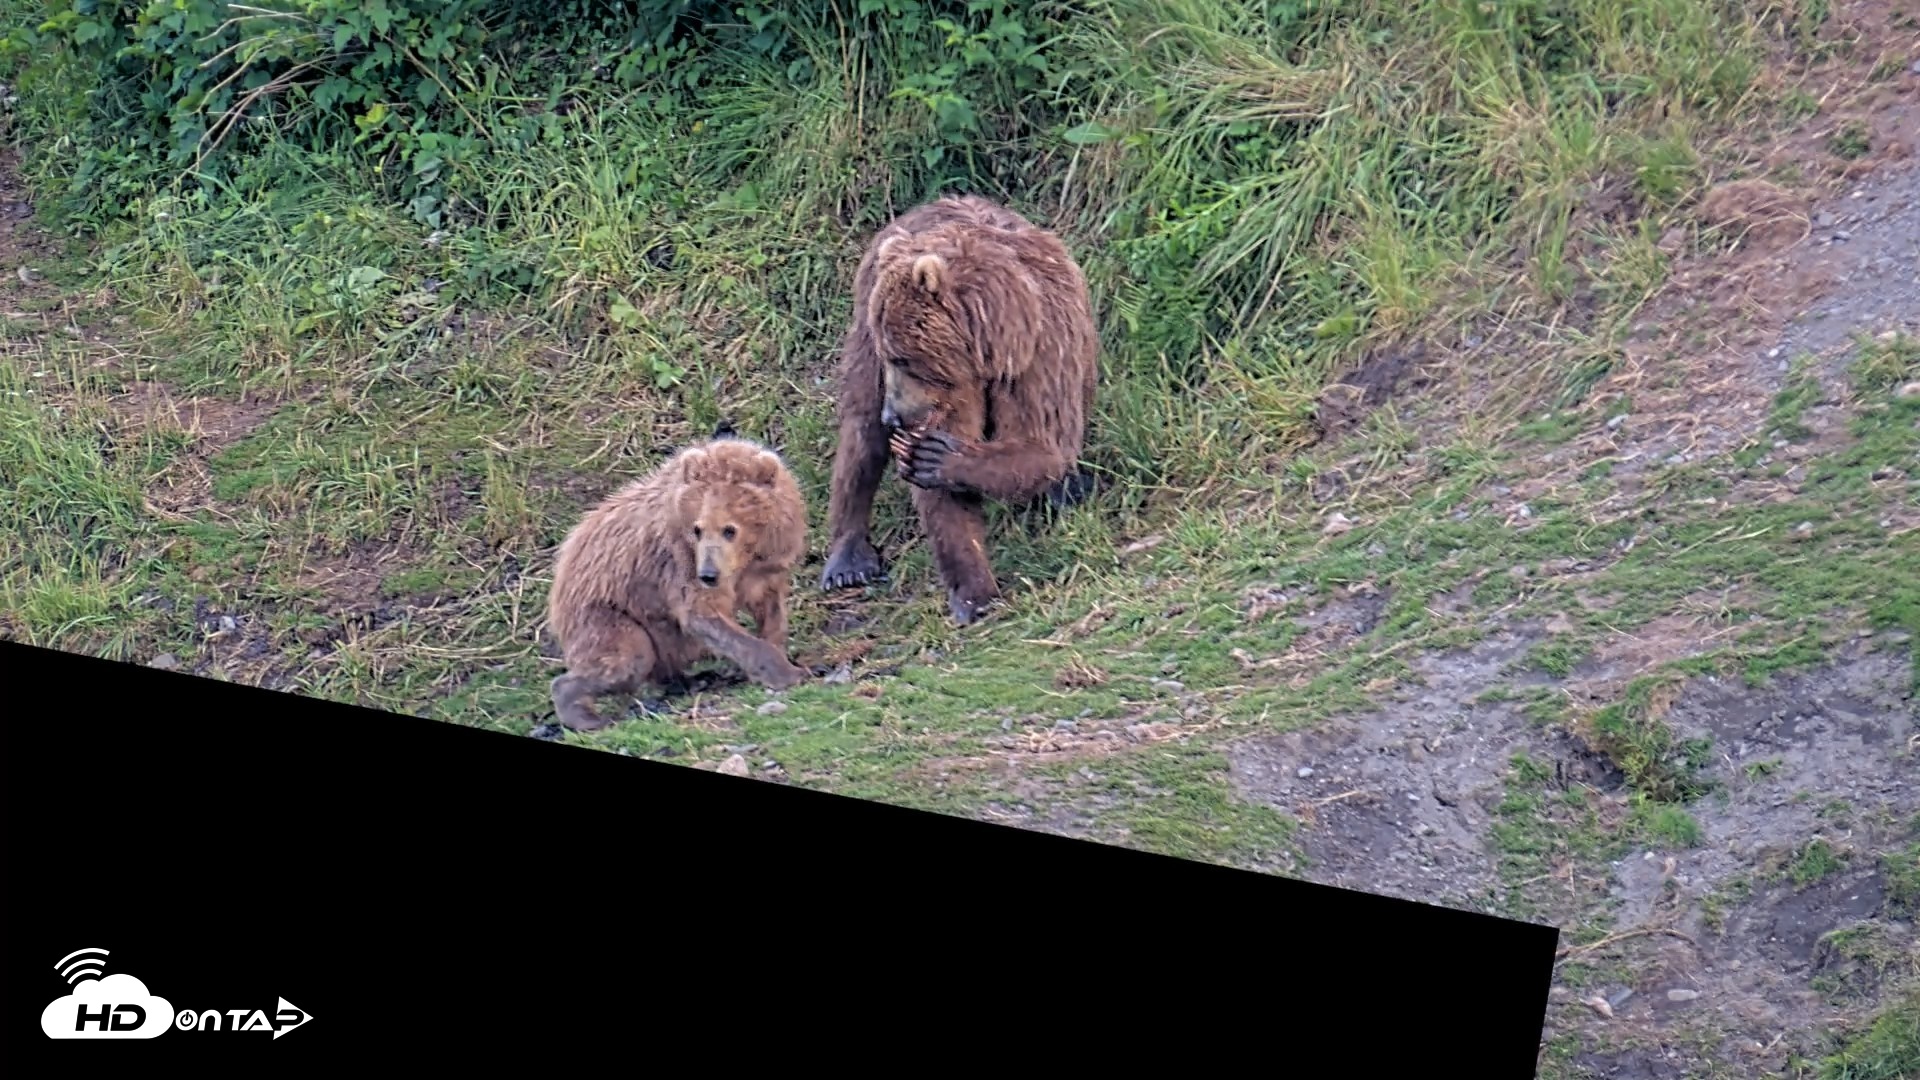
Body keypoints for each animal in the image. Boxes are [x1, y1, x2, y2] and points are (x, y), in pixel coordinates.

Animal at [546, 424, 810, 732]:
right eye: (698, 529)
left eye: (729, 529)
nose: (708, 574)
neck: (745, 558)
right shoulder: (680, 560)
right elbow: (702, 614)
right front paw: (787, 672)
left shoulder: (768, 563)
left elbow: (770, 608)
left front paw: (777, 652)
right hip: (604, 612)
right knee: (627, 658)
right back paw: (584, 713)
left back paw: (693, 678)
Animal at [816, 194, 1099, 625]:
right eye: (891, 356)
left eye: (903, 358)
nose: (893, 416)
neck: (984, 350)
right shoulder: (944, 389)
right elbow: (943, 498)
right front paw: (973, 592)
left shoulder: (1039, 354)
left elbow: (1042, 441)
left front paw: (937, 456)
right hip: (864, 316)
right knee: (859, 430)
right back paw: (848, 560)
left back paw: (1068, 490)